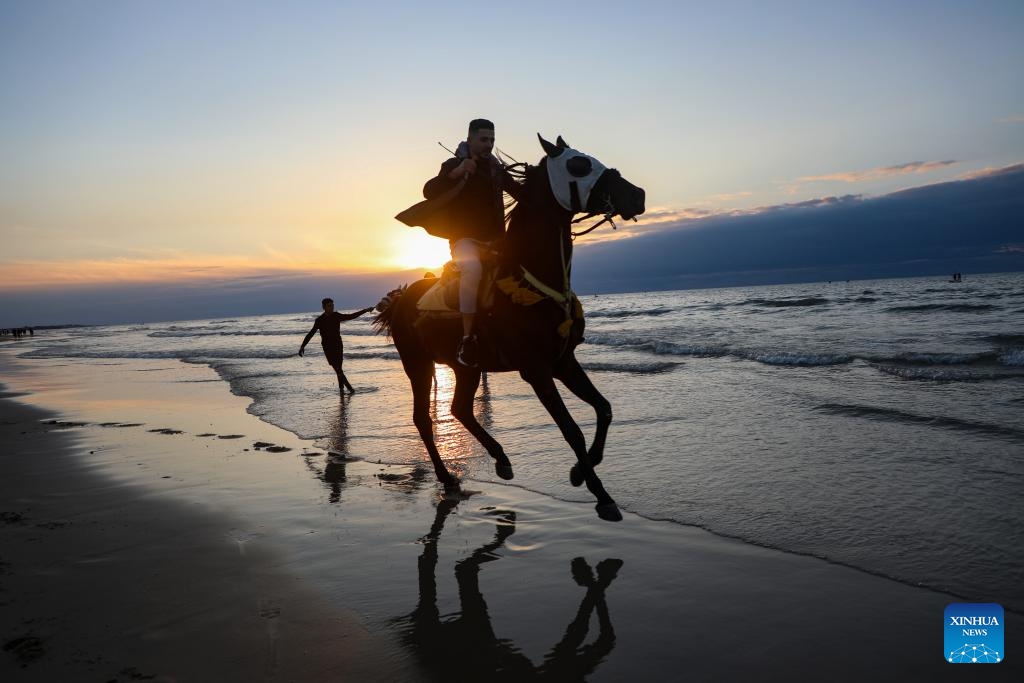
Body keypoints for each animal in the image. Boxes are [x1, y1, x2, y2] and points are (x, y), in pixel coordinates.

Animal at [374, 134, 646, 521]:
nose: (637, 195)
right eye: (578, 165)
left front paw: (581, 471)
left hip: (465, 367)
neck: (531, 276)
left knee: (459, 409)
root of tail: (401, 298)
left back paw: (501, 460)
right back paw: (448, 478)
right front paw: (601, 494)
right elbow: (572, 431)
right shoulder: (537, 370)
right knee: (423, 419)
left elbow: (604, 409)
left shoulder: (563, 362)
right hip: (418, 364)